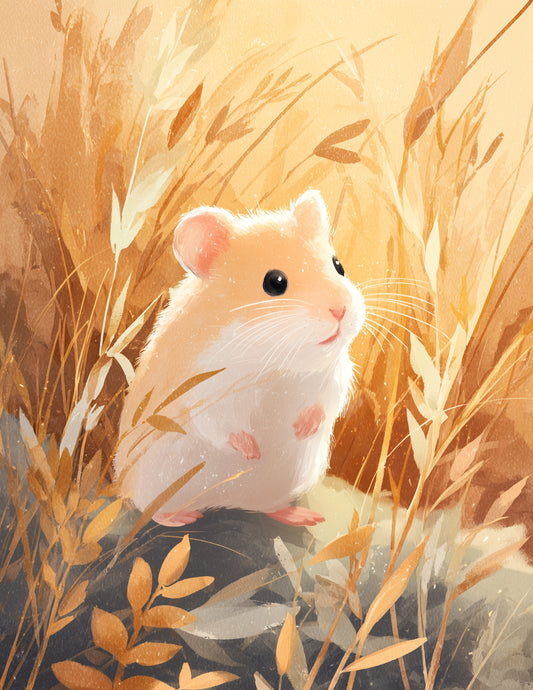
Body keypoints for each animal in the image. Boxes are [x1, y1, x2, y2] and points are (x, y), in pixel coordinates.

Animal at [113, 190, 365, 526]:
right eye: (275, 282)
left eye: (339, 266)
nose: (341, 310)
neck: (278, 356)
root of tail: (227, 502)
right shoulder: (204, 388)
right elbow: (222, 422)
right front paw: (253, 451)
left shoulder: (334, 374)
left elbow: (326, 404)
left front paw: (300, 429)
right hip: (151, 482)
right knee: (147, 509)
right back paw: (183, 518)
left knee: (268, 507)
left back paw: (304, 516)